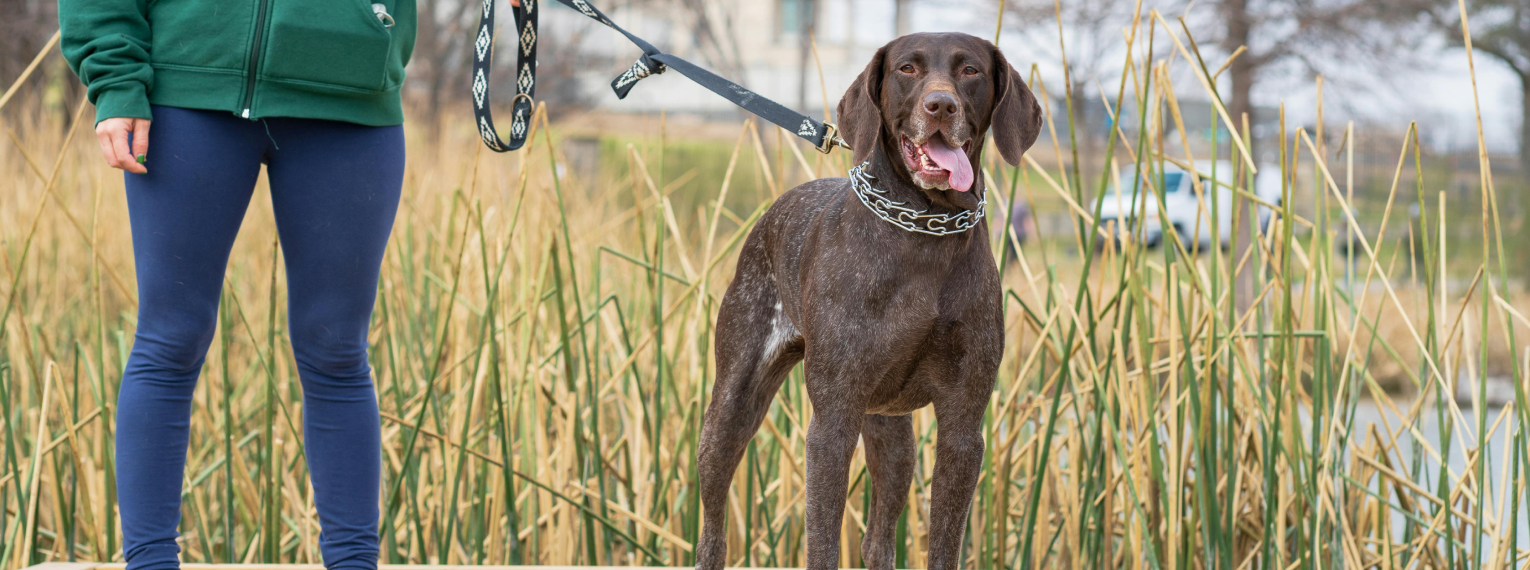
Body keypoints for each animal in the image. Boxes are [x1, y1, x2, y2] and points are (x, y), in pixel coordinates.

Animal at [697, 32, 1046, 568]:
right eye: (907, 69)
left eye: (970, 70)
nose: (940, 105)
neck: (924, 227)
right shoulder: (831, 424)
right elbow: (821, 543)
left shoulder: (963, 428)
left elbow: (944, 542)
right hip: (732, 409)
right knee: (712, 524)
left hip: (892, 435)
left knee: (878, 539)